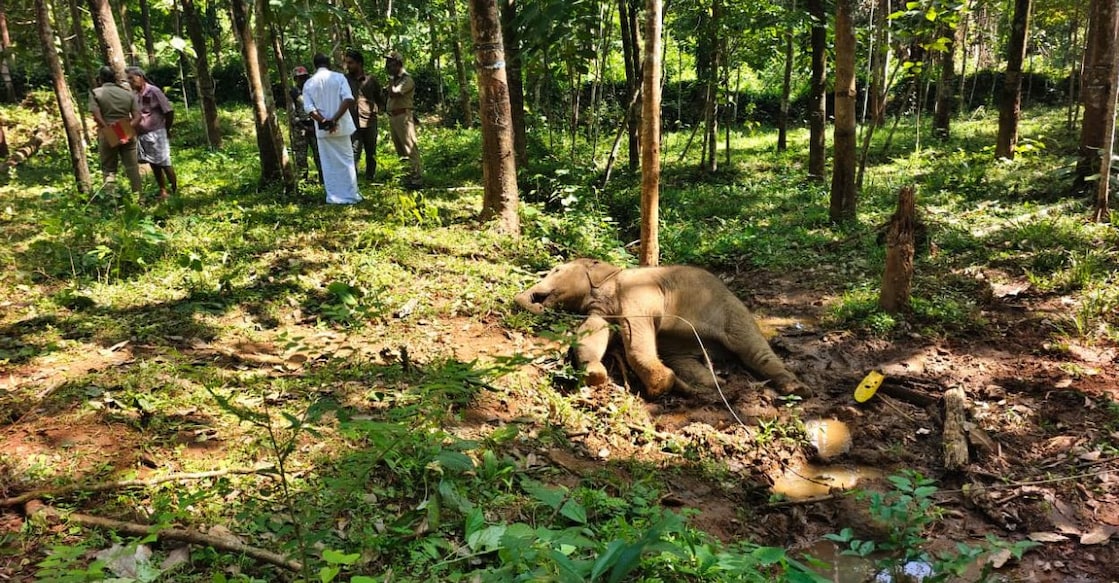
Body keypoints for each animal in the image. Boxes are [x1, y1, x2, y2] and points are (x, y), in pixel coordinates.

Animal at [514, 258, 809, 399]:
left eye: (555, 270)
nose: (536, 304)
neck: (612, 275)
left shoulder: (637, 293)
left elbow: (636, 334)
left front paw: (659, 387)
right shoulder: (604, 308)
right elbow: (593, 332)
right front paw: (595, 375)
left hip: (734, 314)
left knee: (753, 350)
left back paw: (796, 389)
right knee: (685, 361)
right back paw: (712, 386)